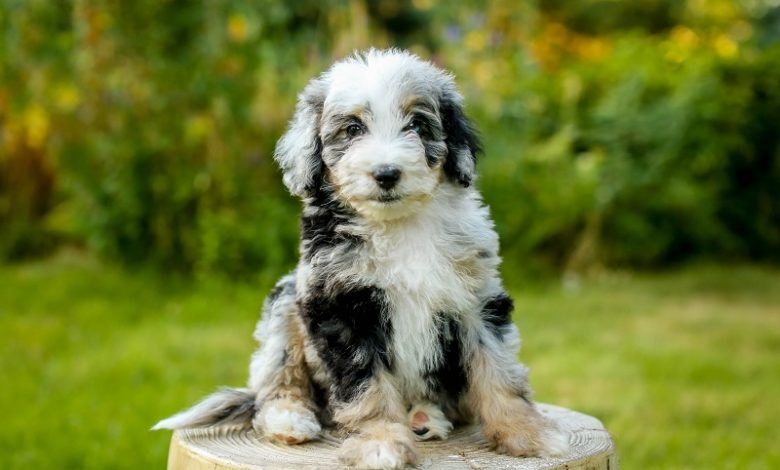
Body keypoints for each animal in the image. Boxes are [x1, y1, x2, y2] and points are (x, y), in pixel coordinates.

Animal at [152, 48, 568, 470]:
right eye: (352, 129)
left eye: (417, 125)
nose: (386, 174)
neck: (399, 225)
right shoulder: (341, 308)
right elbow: (367, 387)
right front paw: (380, 444)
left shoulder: (477, 299)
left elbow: (499, 372)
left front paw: (527, 434)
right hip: (286, 300)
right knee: (277, 378)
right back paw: (290, 417)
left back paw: (424, 417)